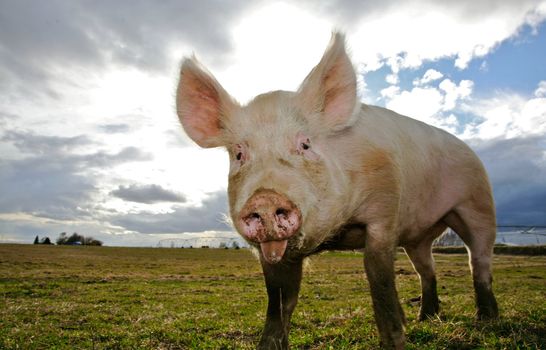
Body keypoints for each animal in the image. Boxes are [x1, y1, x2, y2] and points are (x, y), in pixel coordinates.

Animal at [174, 32, 498, 348]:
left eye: (305, 144)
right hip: (418, 237)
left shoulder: (385, 213)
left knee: (478, 260)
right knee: (426, 268)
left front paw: (395, 339)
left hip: (478, 202)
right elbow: (279, 301)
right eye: (239, 154)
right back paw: (425, 318)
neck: (337, 231)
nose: (264, 198)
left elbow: (380, 282)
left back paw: (487, 320)